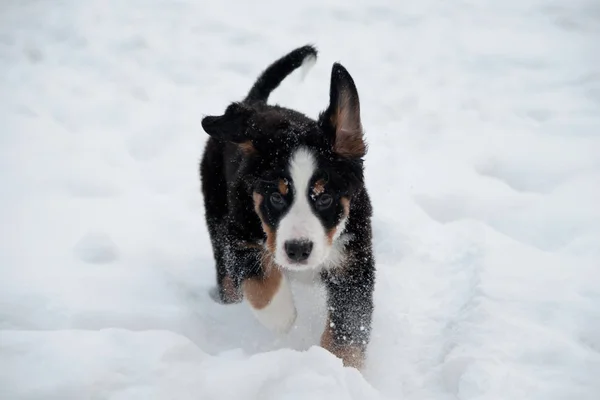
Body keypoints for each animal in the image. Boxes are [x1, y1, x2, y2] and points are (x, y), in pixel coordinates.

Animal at [199, 45, 372, 370]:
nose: (298, 250)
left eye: (324, 198)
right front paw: (282, 317)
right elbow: (260, 278)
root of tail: (253, 102)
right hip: (215, 209)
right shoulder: (237, 232)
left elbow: (348, 330)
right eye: (276, 198)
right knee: (228, 277)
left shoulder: (353, 263)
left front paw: (338, 368)